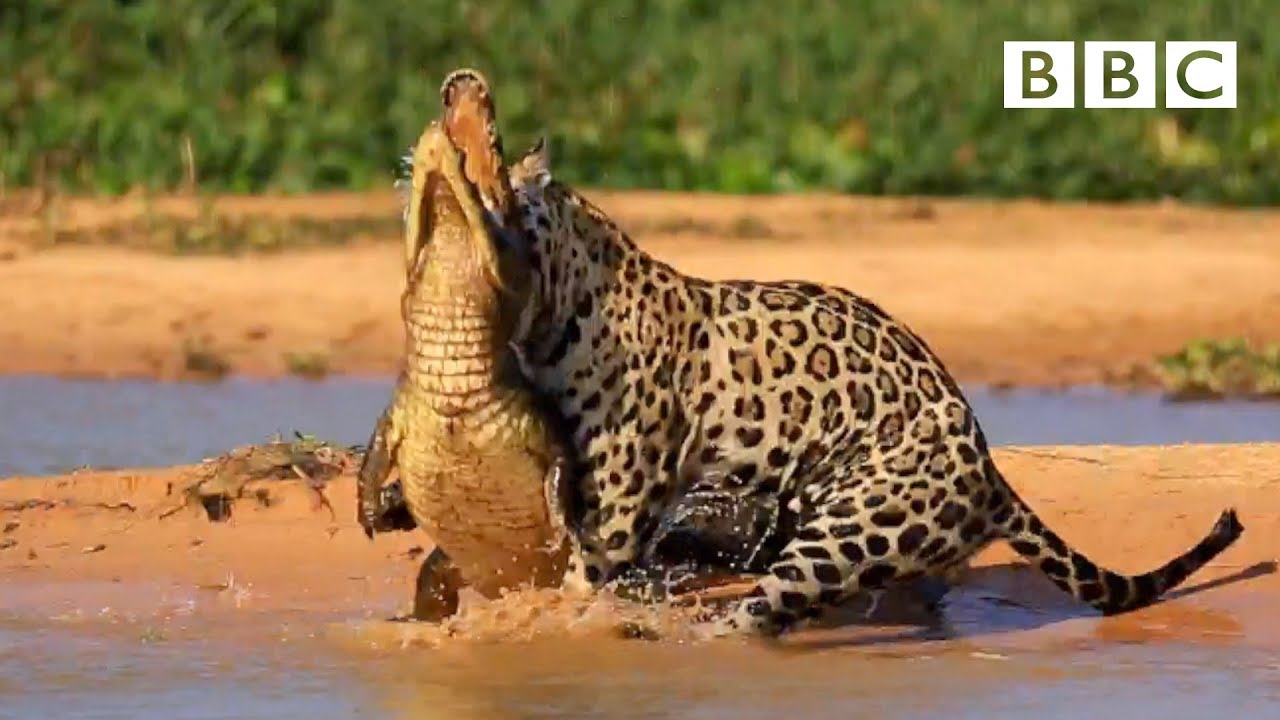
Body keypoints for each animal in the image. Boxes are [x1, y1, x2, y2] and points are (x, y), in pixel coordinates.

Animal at [473, 92, 1245, 640]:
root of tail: (992, 474)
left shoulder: (624, 497)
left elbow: (587, 568)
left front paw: (551, 619)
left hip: (848, 533)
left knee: (766, 612)